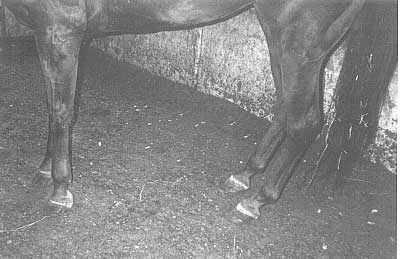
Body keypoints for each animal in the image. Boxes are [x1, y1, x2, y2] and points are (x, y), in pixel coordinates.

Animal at [2, 0, 396, 220]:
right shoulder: (46, 32)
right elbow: (54, 105)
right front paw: (45, 168)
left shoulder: (61, 30)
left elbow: (62, 110)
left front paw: (60, 190)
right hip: (287, 38)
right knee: (287, 106)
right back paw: (245, 174)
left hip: (302, 41)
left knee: (305, 122)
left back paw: (256, 202)